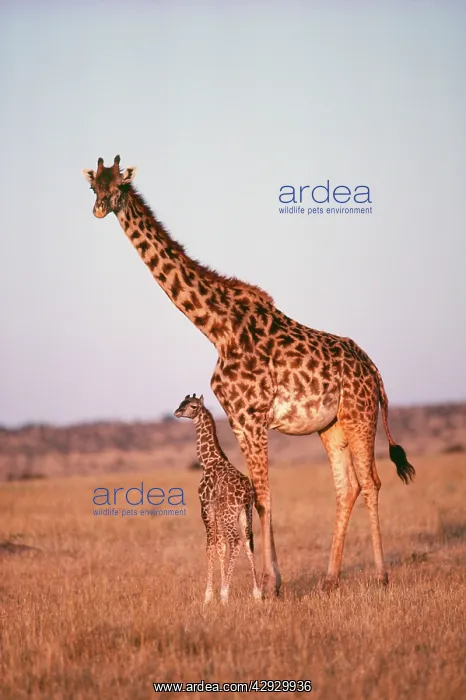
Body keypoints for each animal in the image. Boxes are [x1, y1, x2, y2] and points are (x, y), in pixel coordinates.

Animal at [174, 393, 261, 603]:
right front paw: (218, 589)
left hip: (228, 514)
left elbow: (210, 546)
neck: (208, 462)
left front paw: (208, 595)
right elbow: (221, 546)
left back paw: (224, 594)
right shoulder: (219, 511)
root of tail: (246, 492)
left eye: (193, 406)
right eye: (181, 402)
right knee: (248, 541)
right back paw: (257, 593)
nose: (177, 412)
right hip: (245, 513)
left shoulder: (206, 507)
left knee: (236, 541)